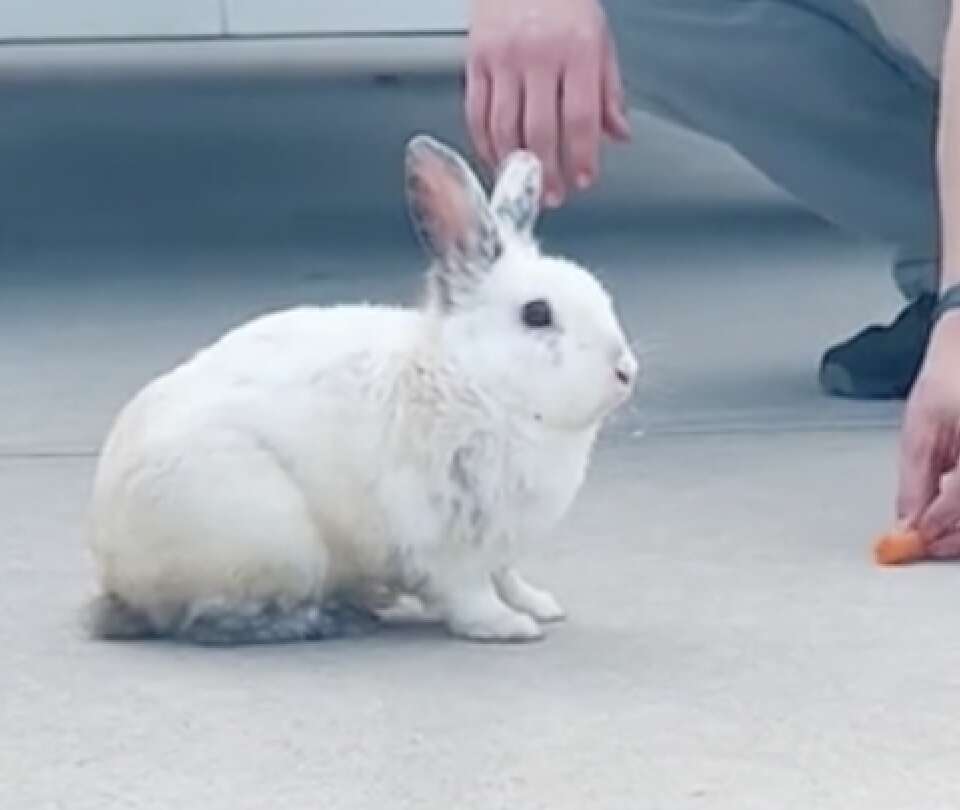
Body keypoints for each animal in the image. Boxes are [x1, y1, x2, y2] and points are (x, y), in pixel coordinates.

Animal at [84, 134, 636, 644]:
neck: (476, 380)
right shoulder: (446, 545)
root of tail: (117, 567)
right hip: (272, 542)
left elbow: (509, 577)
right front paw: (508, 626)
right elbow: (470, 592)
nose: (625, 370)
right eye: (537, 314)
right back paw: (332, 617)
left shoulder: (500, 544)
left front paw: (539, 605)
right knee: (208, 620)